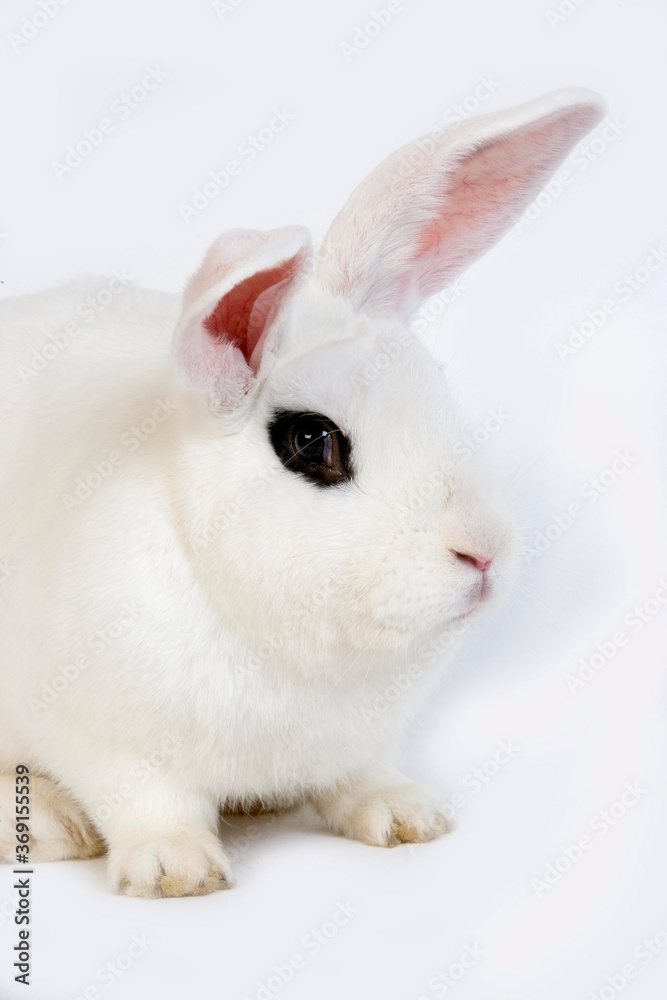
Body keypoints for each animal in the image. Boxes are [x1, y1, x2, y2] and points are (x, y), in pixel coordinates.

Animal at [0, 88, 604, 897]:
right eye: (313, 443)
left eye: (437, 391)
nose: (482, 554)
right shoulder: (111, 742)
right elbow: (149, 803)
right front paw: (177, 872)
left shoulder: (361, 742)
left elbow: (359, 778)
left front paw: (406, 818)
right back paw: (48, 825)